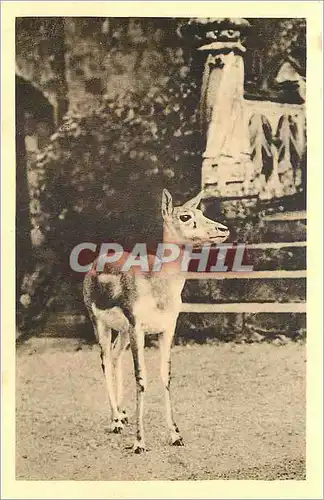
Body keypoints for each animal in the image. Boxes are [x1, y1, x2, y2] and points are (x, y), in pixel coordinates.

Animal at [83, 188, 230, 454]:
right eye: (185, 216)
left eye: (201, 212)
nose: (222, 229)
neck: (158, 284)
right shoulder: (138, 330)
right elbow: (141, 378)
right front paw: (139, 442)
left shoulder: (167, 330)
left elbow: (165, 376)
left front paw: (175, 435)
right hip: (100, 325)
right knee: (105, 361)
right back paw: (115, 421)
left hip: (122, 332)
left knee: (115, 357)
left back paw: (123, 414)